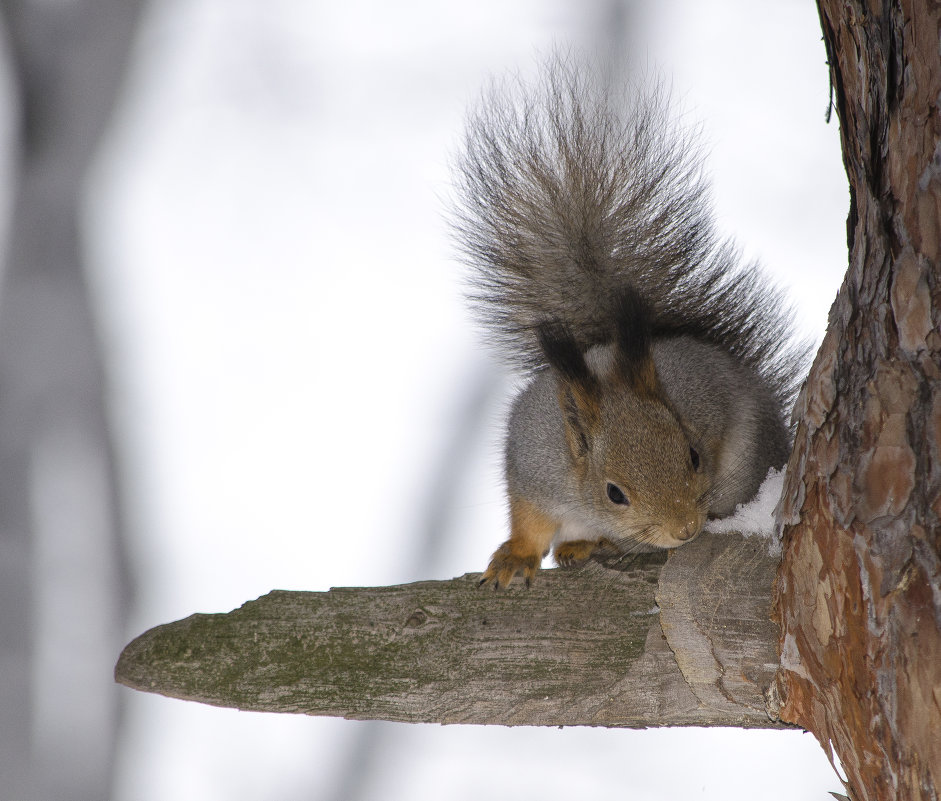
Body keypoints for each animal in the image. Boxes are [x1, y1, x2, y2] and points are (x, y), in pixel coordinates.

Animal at [452, 59, 804, 588]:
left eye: (694, 455)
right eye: (615, 492)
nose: (685, 529)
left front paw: (599, 542)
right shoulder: (532, 470)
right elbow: (529, 520)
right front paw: (515, 556)